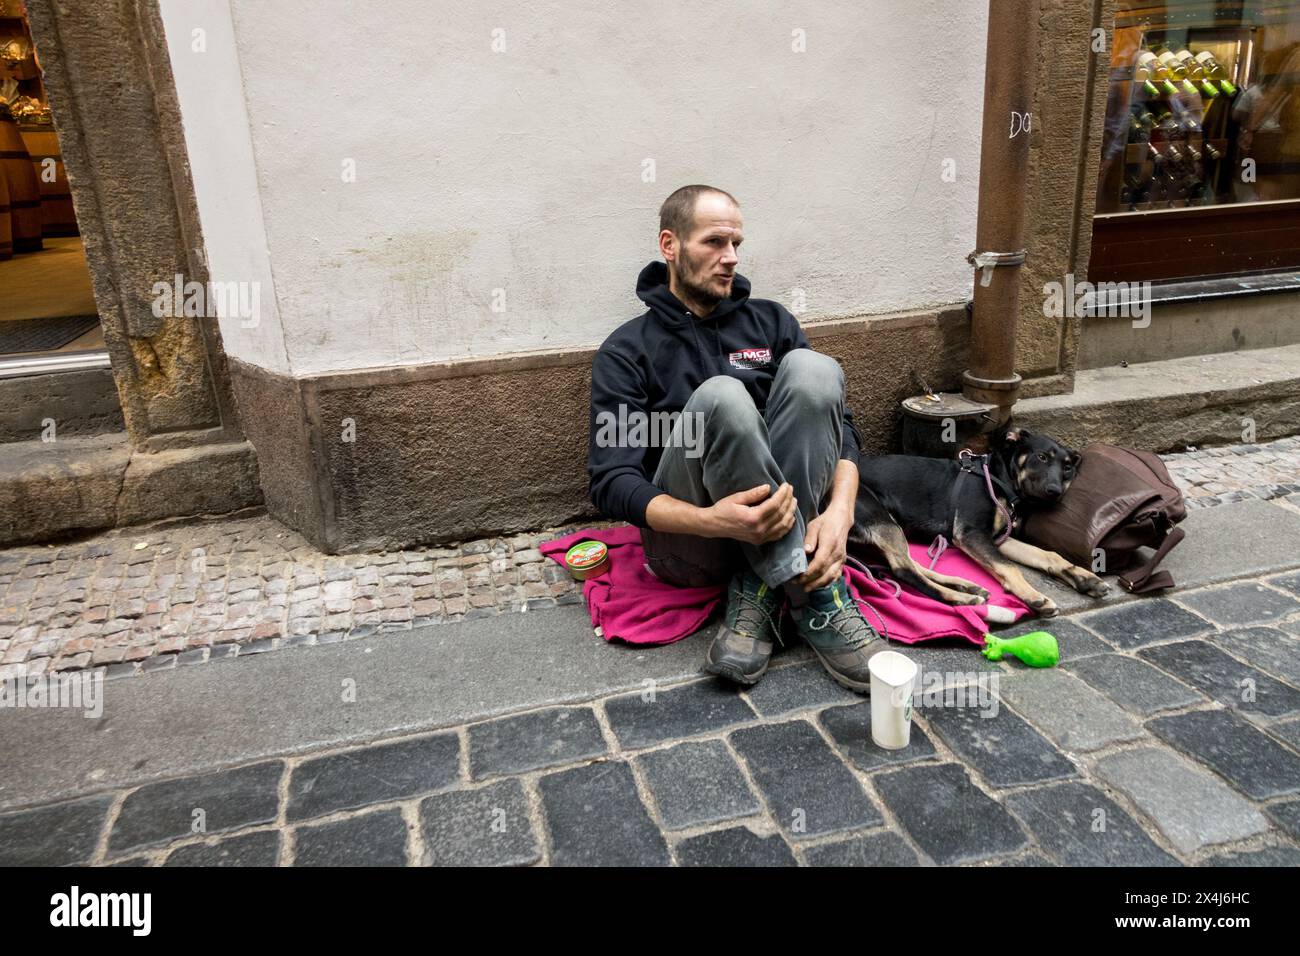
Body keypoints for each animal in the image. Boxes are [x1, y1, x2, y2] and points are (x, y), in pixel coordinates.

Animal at [847, 424, 1112, 613]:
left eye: (1067, 468)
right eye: (1042, 457)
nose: (1055, 491)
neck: (1000, 479)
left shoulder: (999, 538)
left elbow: (1048, 555)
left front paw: (1087, 578)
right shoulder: (971, 534)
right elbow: (1010, 567)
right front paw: (1034, 595)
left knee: (908, 563)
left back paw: (964, 585)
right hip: (881, 518)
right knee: (903, 570)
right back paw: (962, 597)